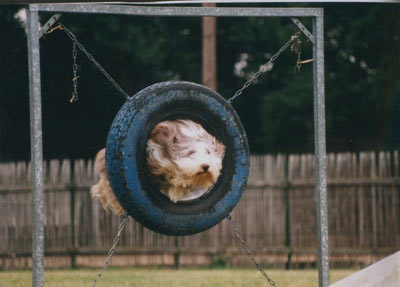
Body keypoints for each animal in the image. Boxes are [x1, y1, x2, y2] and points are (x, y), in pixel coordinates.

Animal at [92, 120, 227, 216]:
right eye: (191, 152)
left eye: (208, 152)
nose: (205, 166)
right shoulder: (156, 157)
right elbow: (169, 172)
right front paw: (179, 183)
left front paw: (178, 188)